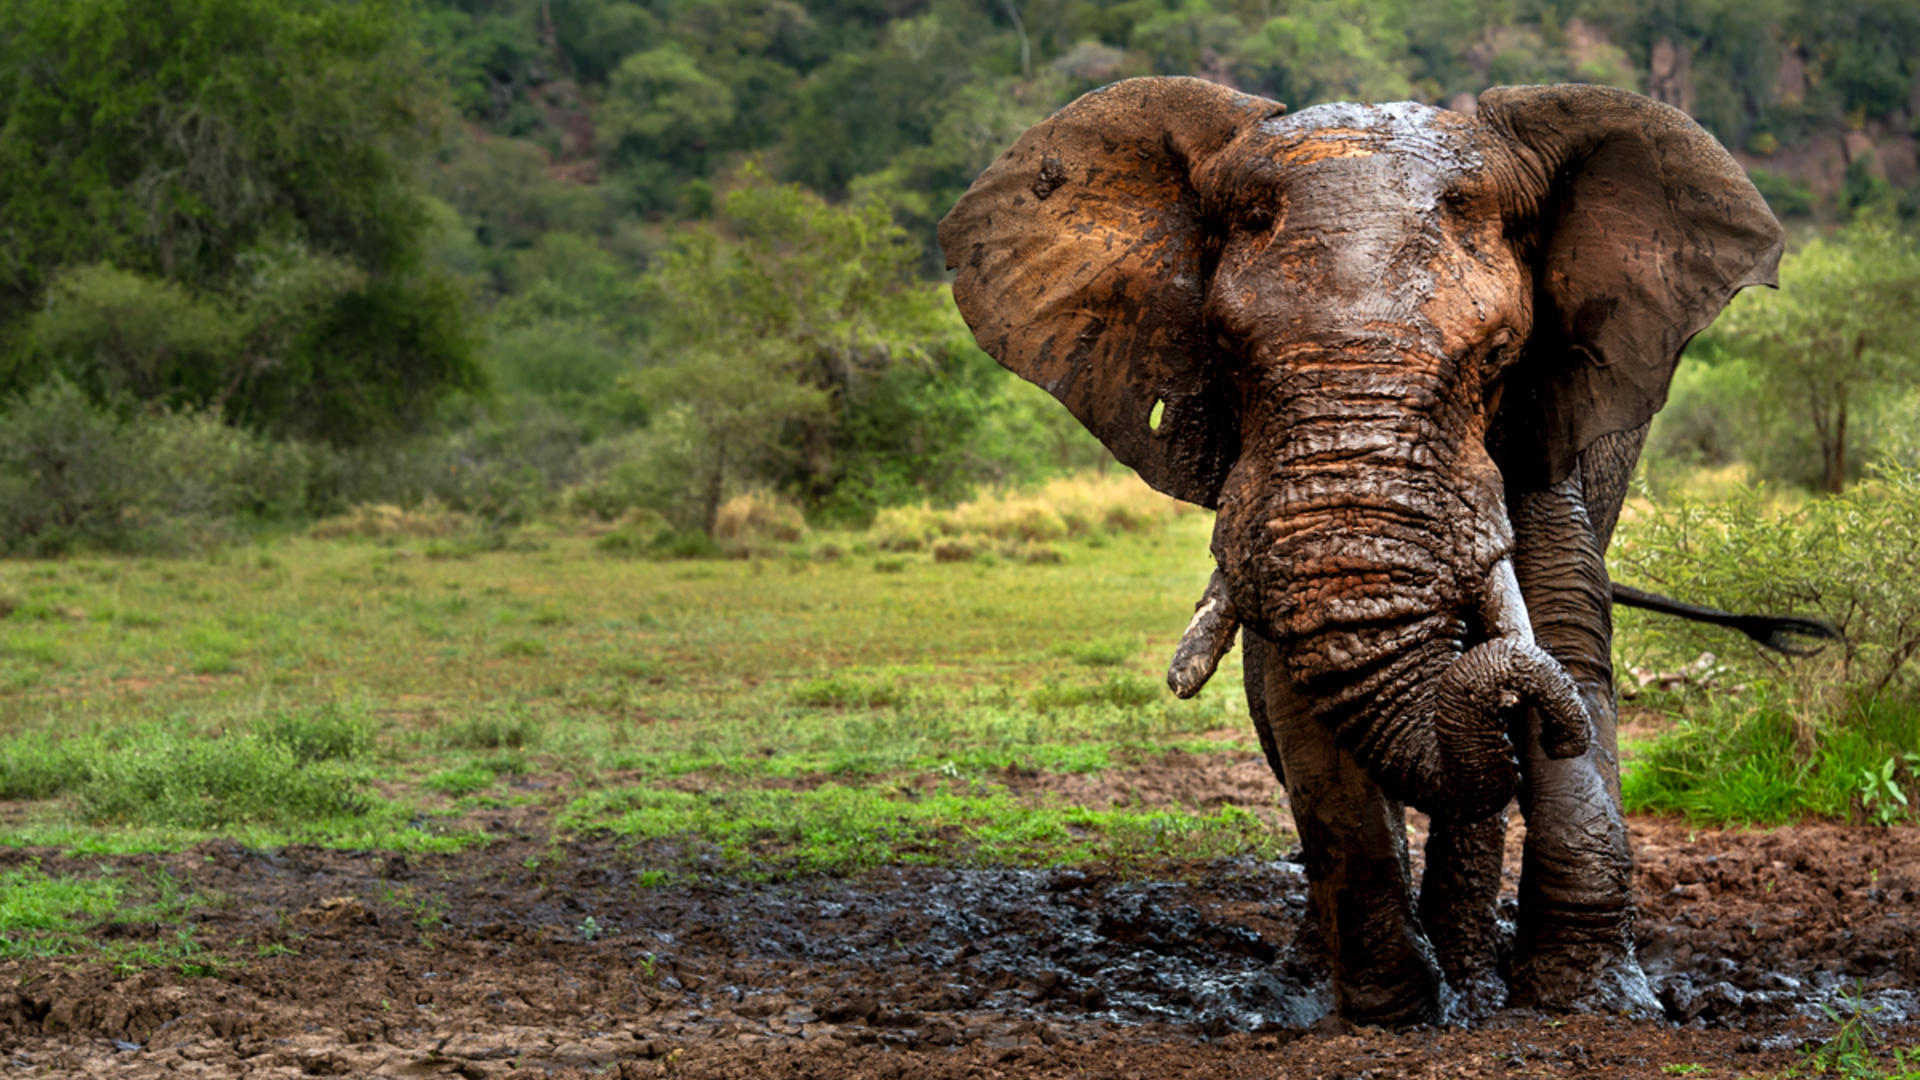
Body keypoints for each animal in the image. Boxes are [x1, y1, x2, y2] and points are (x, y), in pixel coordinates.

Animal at [938, 77, 1786, 1025]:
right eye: (1224, 354)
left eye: (1498, 358)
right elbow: (1297, 692)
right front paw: (1394, 1007)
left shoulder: (1551, 421)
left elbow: (1566, 640)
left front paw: (1593, 1003)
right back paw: (1336, 977)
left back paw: (1474, 973)